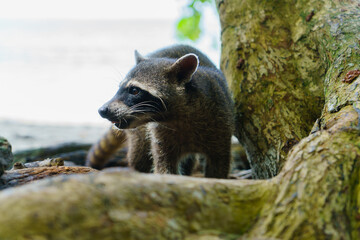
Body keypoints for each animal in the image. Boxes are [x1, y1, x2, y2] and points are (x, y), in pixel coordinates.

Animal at [86, 44, 235, 178]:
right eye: (119, 89)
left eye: (134, 90)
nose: (102, 110)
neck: (176, 117)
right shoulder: (160, 136)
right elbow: (164, 166)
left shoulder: (220, 125)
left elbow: (219, 165)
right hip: (140, 135)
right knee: (139, 154)